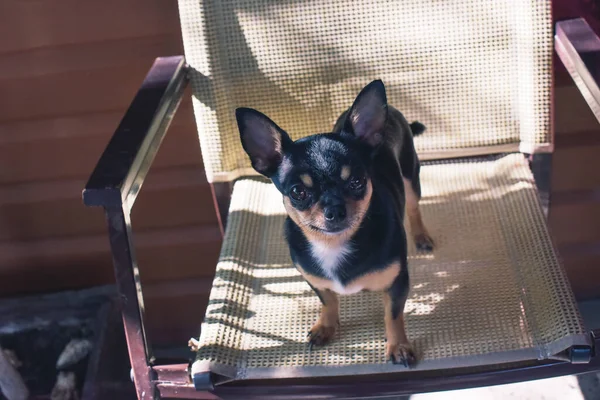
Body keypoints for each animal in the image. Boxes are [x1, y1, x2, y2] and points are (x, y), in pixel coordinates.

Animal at [237, 79, 434, 368]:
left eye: (357, 182)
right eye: (298, 192)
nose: (335, 209)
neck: (333, 244)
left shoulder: (398, 284)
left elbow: (393, 315)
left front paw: (398, 346)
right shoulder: (314, 280)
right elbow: (328, 300)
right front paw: (325, 327)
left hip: (410, 176)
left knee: (413, 207)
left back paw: (421, 236)